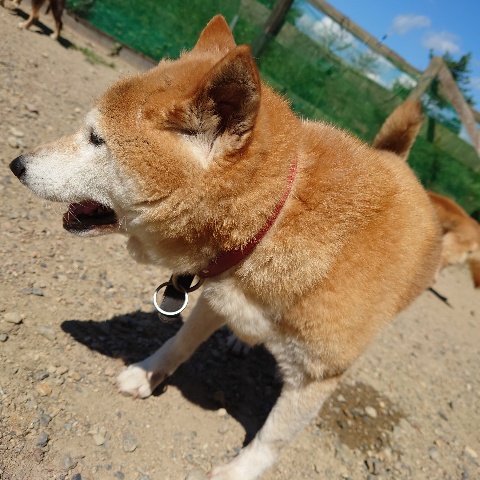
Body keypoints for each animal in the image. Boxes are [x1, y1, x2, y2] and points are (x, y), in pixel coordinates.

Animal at [9, 16, 441, 479]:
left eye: (95, 138)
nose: (16, 164)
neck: (273, 222)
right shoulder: (218, 297)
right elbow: (179, 343)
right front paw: (146, 373)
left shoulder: (319, 374)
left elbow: (271, 438)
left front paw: (239, 470)